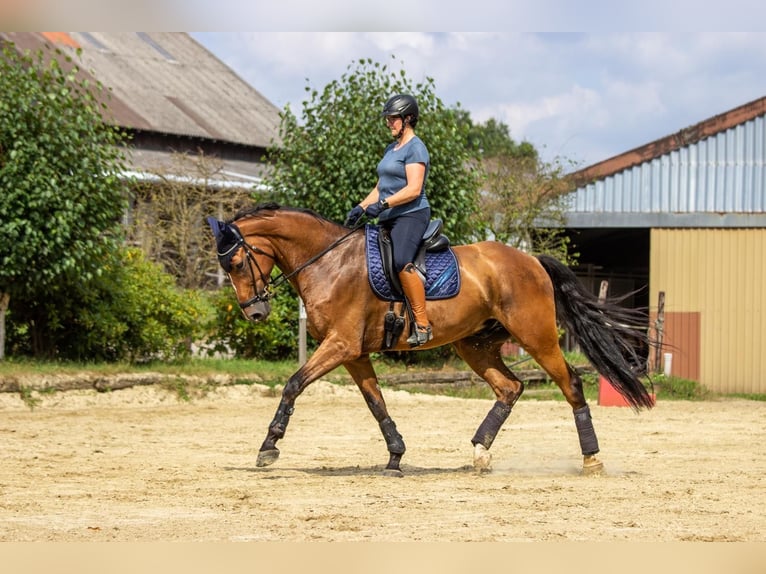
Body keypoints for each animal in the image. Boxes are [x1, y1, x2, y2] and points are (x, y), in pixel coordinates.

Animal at [207, 202, 654, 477]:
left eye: (236, 262)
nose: (255, 313)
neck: (329, 263)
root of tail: (531, 259)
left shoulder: (340, 345)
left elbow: (293, 384)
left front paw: (269, 446)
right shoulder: (353, 353)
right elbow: (376, 403)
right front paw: (395, 455)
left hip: (537, 336)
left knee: (571, 385)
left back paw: (591, 459)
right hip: (474, 344)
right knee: (510, 388)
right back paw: (480, 452)